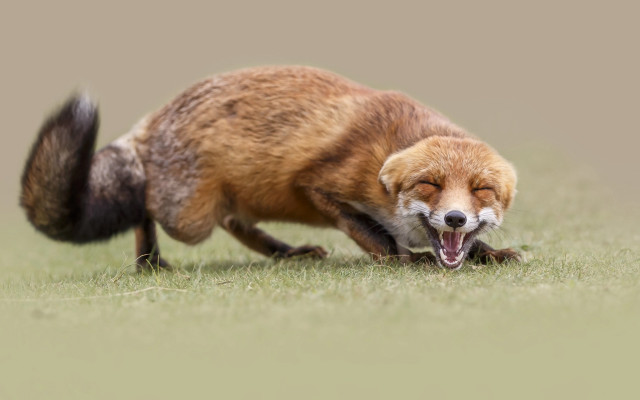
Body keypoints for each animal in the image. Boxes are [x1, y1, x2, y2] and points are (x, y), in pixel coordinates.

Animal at [20, 66, 519, 271]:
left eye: (481, 190)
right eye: (430, 183)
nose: (454, 217)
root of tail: (149, 123)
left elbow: (465, 246)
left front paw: (489, 254)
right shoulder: (317, 185)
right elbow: (374, 236)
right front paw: (404, 259)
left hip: (225, 206)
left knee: (235, 223)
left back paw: (286, 252)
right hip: (189, 218)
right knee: (145, 205)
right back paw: (149, 263)